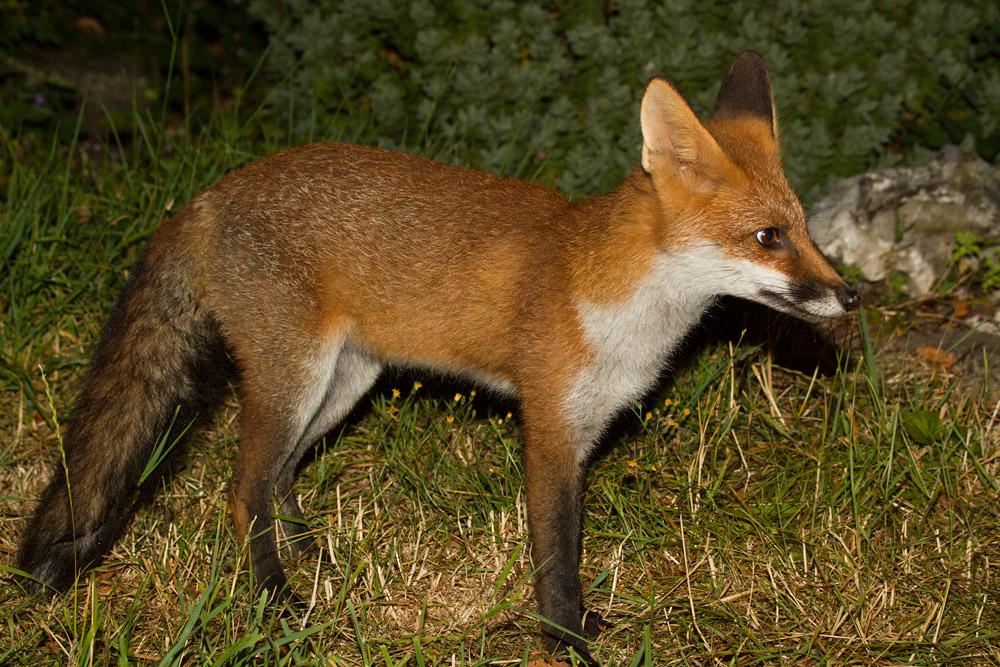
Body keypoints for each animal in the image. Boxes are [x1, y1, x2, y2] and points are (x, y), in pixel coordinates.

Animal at [17, 51, 857, 664]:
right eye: (768, 238)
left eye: (806, 229)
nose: (852, 296)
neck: (621, 306)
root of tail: (209, 193)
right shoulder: (549, 426)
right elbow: (555, 553)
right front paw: (567, 642)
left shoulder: (588, 428)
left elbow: (572, 546)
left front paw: (583, 626)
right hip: (294, 378)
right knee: (242, 487)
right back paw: (276, 600)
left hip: (343, 383)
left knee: (281, 474)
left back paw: (311, 556)